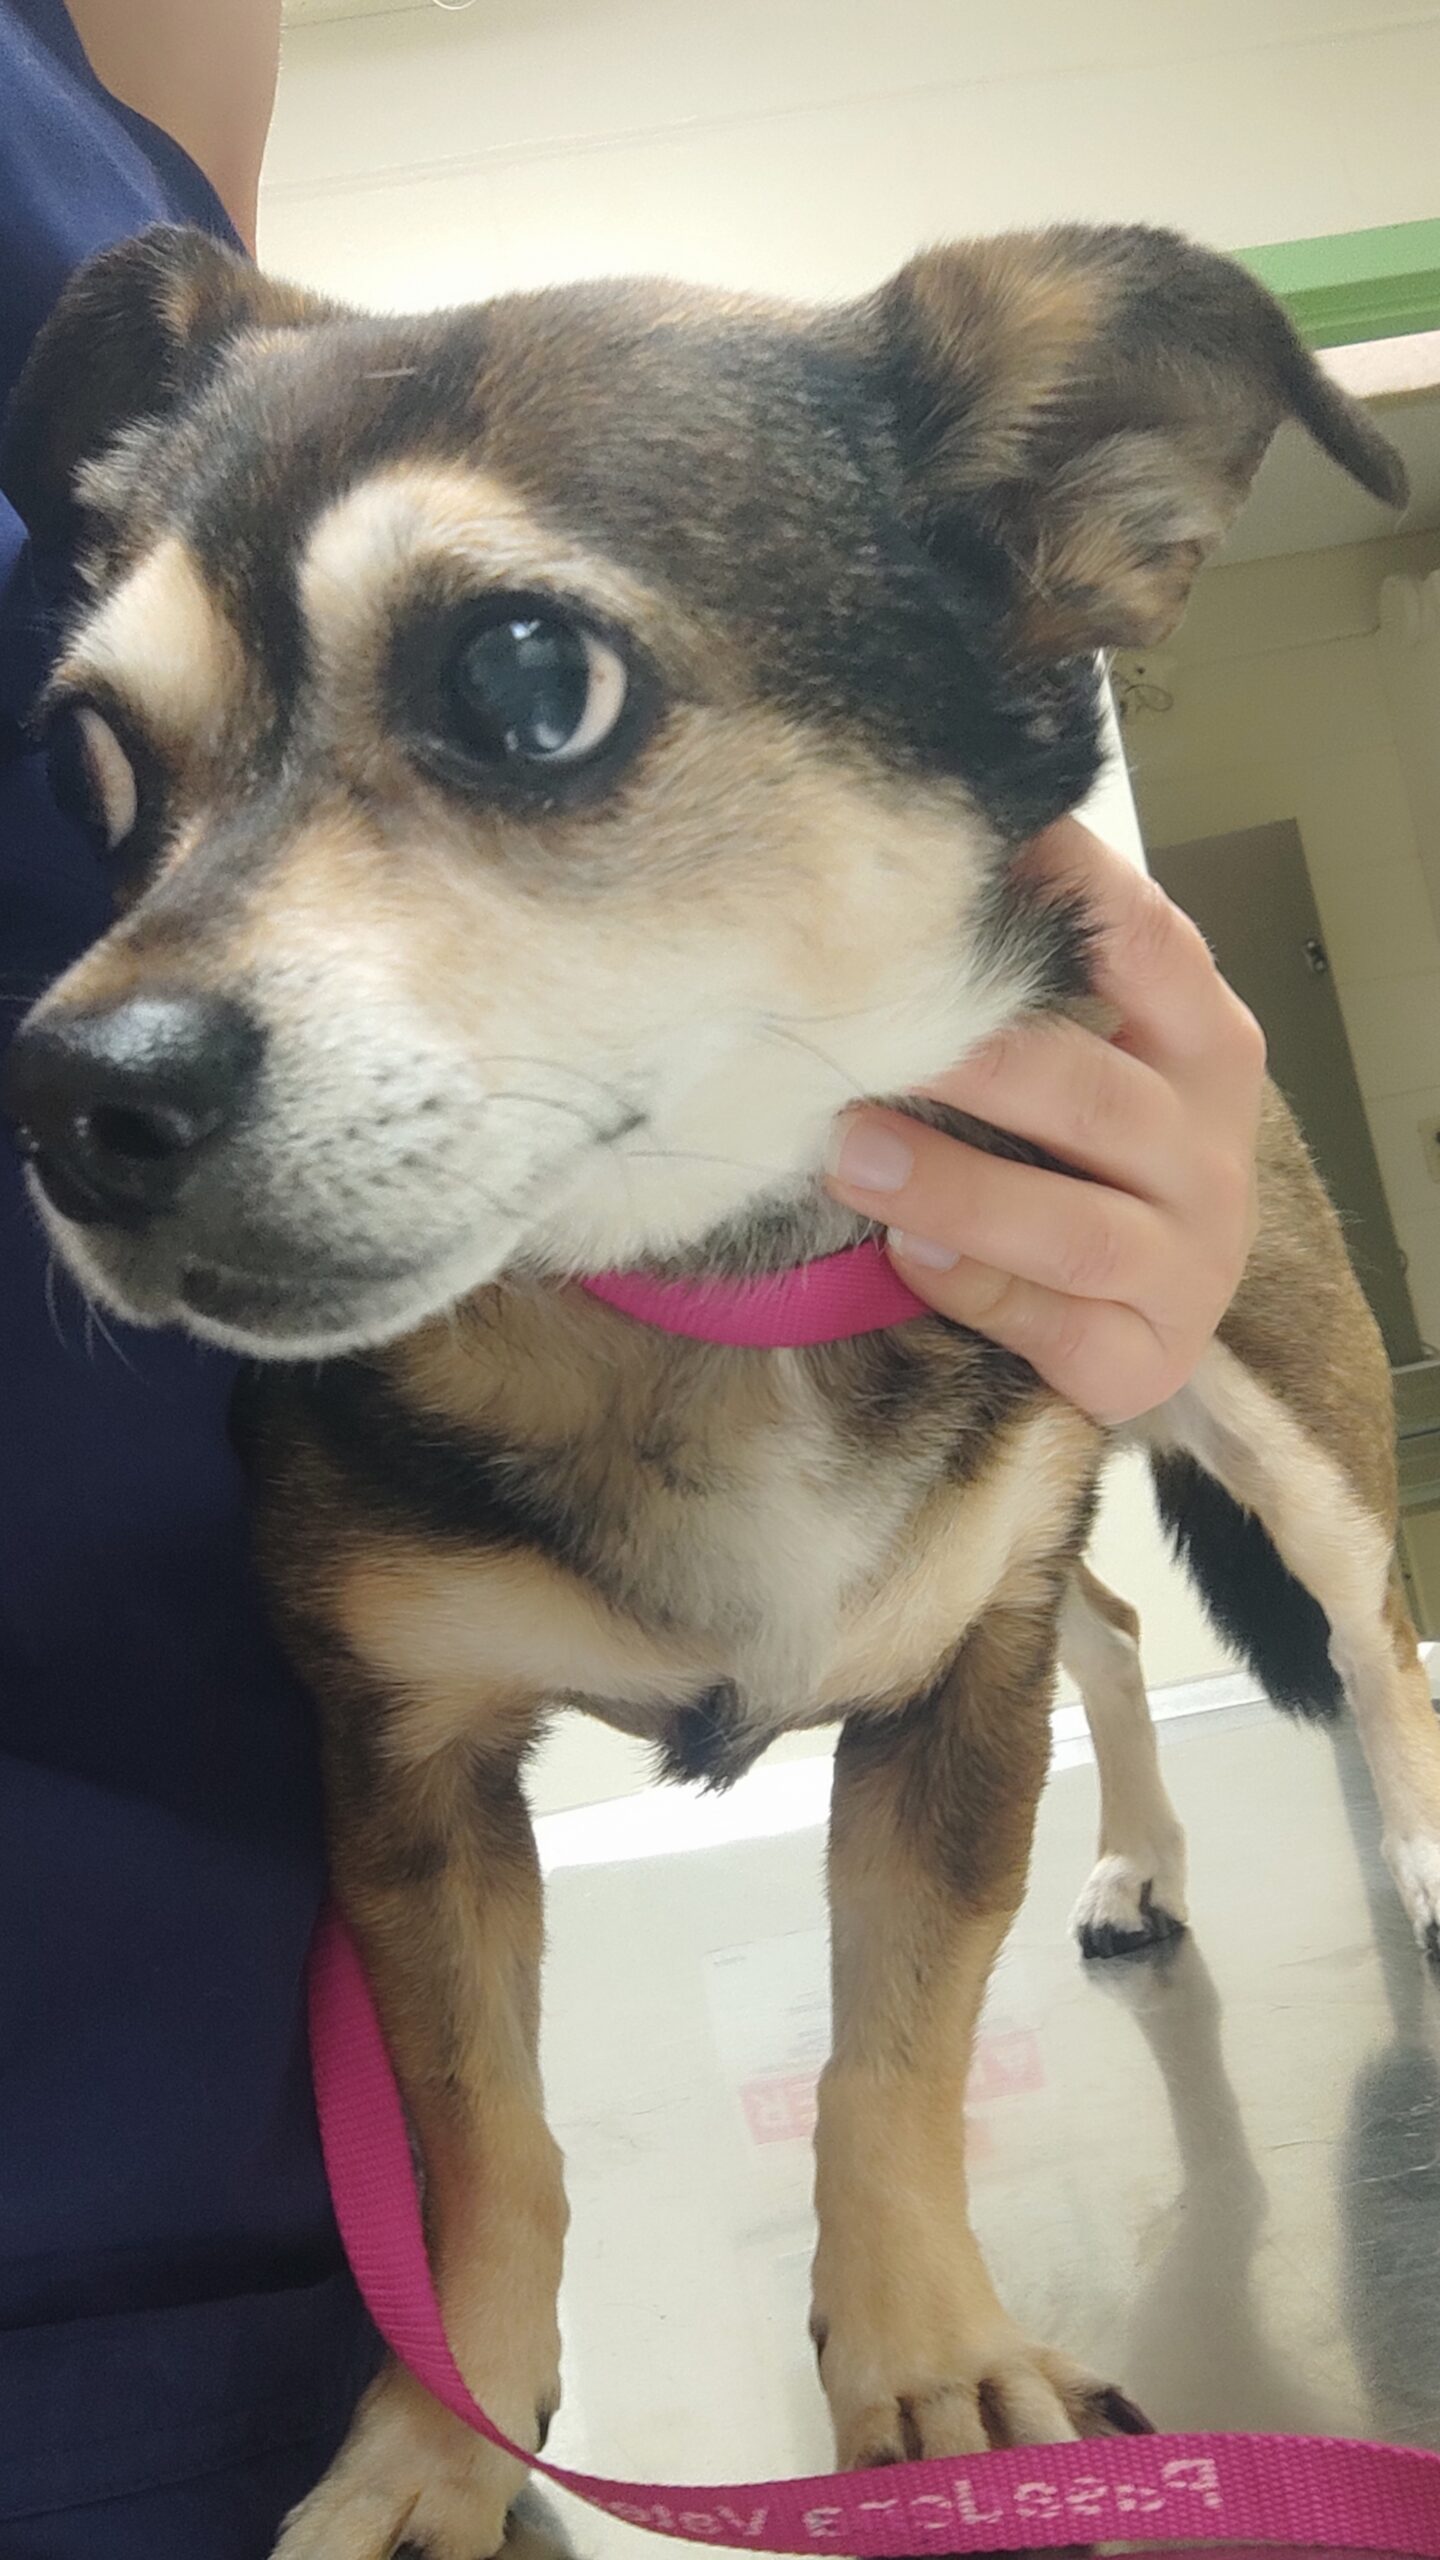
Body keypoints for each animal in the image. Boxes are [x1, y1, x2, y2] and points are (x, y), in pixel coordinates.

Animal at [5, 219, 1438, 2560]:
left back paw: (1415, 1845)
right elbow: (484, 2144)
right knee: (1110, 1621)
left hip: (1269, 1388)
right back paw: (1137, 1861)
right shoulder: (412, 1775)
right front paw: (436, 2439)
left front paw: (936, 2366)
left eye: (528, 679)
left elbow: (893, 2056)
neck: (695, 1296)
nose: (68, 1098)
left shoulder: (947, 1699)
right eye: (88, 766)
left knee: (1363, 1620)